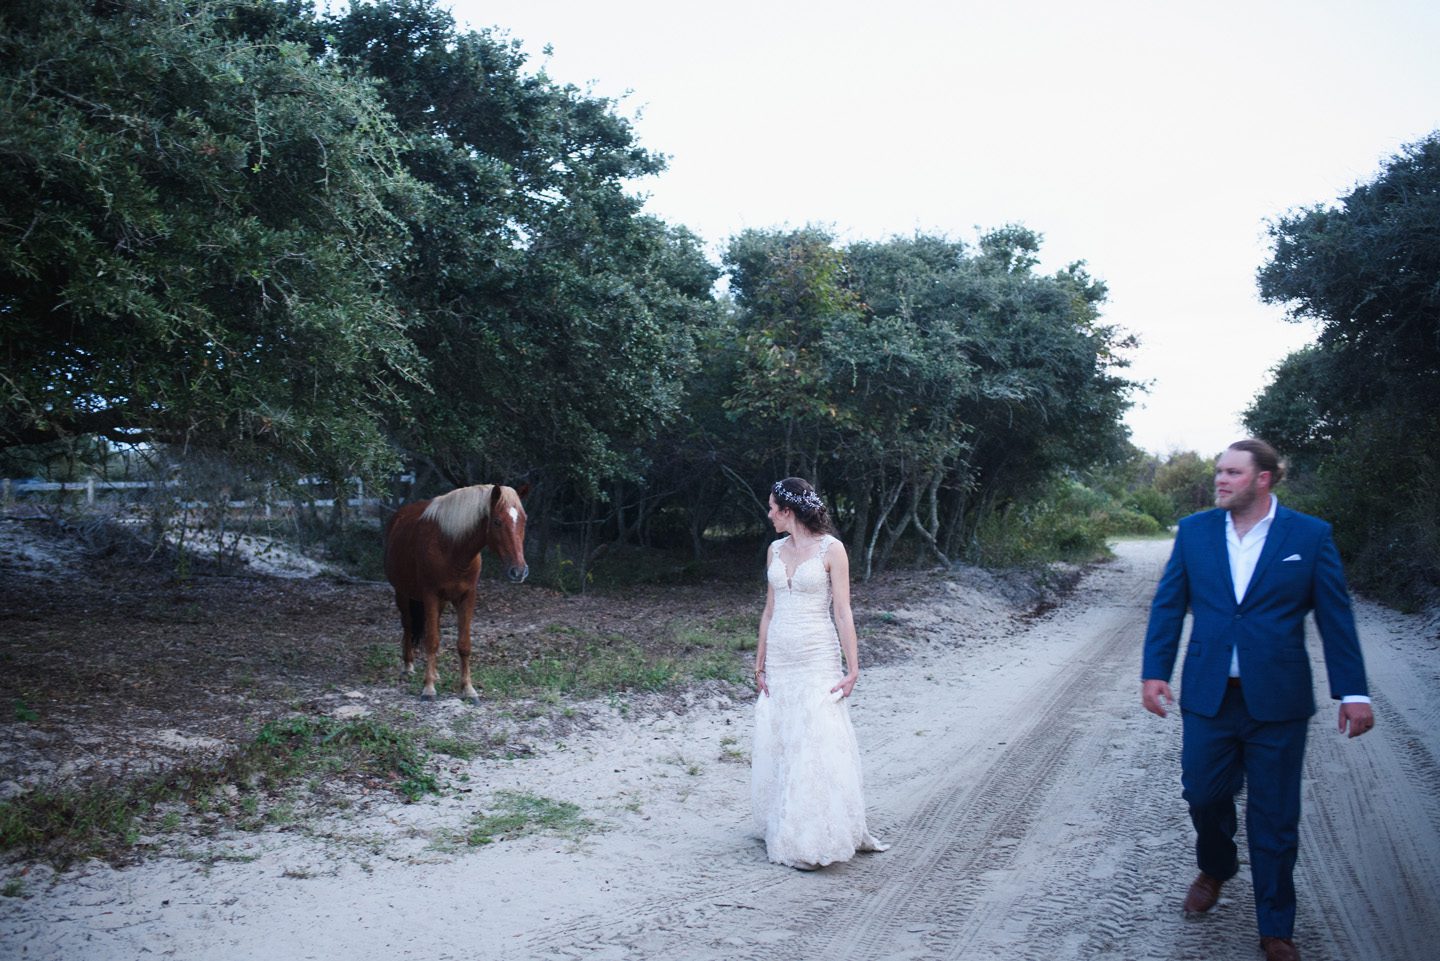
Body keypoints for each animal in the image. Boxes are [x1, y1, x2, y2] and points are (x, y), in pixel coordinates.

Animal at [385, 484, 532, 703]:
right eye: (497, 521)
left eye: (524, 519)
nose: (519, 571)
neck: (451, 548)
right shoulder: (430, 595)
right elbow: (432, 640)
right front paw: (428, 688)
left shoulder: (466, 597)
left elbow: (463, 645)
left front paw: (468, 689)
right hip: (402, 593)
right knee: (409, 625)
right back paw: (409, 666)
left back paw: (434, 673)